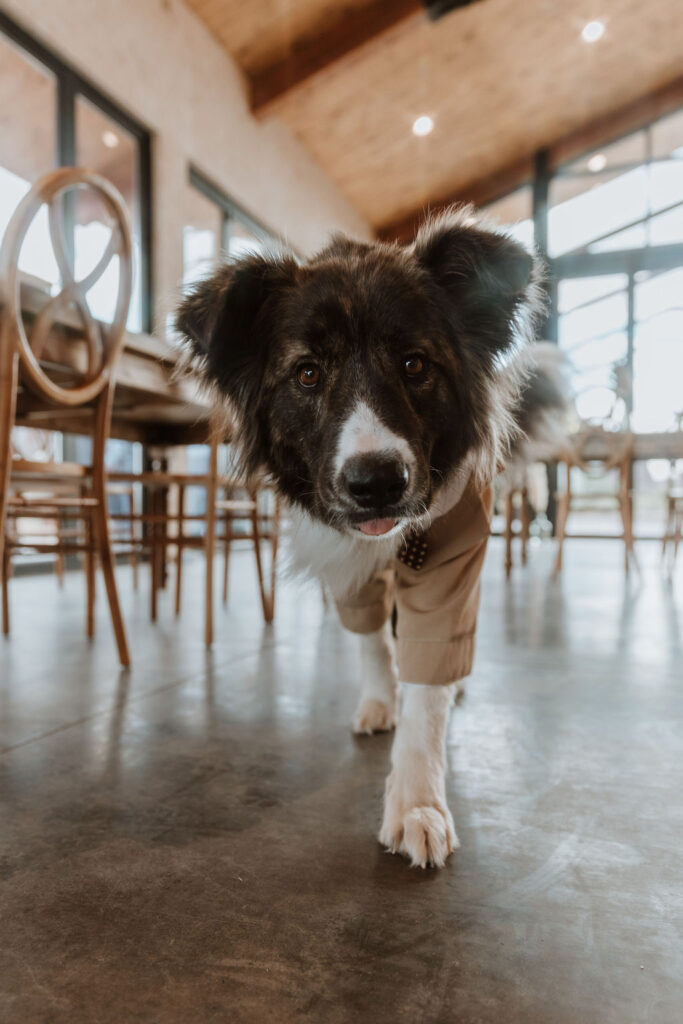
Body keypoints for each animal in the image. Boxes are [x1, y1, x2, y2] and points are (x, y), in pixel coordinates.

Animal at [176, 211, 565, 868]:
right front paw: (381, 700)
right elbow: (370, 641)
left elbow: (428, 689)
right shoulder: (345, 564)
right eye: (307, 373)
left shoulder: (451, 555)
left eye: (415, 364)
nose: (377, 483)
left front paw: (417, 805)